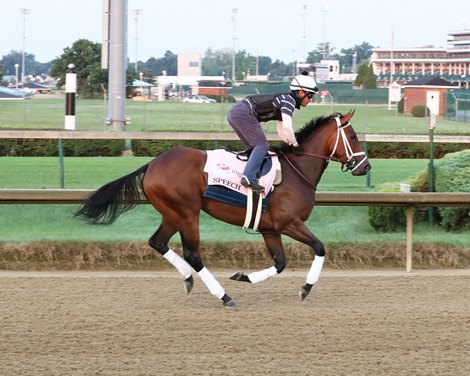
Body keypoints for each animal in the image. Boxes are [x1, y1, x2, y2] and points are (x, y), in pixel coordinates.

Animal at [74, 111, 370, 308]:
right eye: (353, 136)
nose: (365, 166)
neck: (298, 171)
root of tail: (152, 164)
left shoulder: (270, 229)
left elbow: (280, 263)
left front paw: (244, 276)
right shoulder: (289, 223)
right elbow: (320, 247)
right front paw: (306, 288)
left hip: (172, 212)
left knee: (157, 241)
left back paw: (188, 279)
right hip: (188, 213)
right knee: (193, 254)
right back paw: (224, 296)